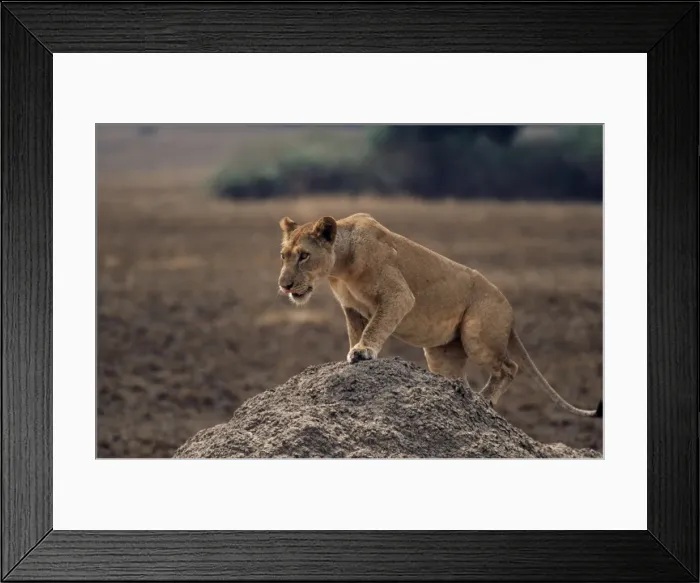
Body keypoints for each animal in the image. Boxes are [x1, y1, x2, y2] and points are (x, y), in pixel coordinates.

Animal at [278, 213, 602, 418]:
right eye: (283, 256)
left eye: (304, 255)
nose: (284, 285)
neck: (340, 266)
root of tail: (510, 309)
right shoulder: (352, 308)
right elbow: (358, 331)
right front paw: (354, 353)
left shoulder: (398, 296)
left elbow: (376, 327)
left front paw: (363, 353)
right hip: (443, 354)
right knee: (461, 378)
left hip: (477, 333)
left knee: (510, 367)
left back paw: (484, 400)